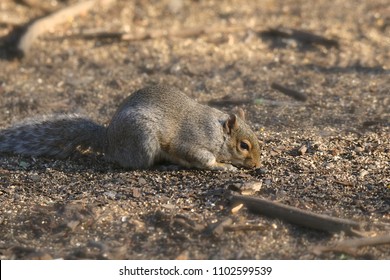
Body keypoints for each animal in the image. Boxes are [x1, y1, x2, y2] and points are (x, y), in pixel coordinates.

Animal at [1, 84, 262, 171]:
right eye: (243, 145)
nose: (257, 165)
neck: (217, 132)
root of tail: (107, 139)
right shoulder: (192, 141)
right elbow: (201, 158)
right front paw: (223, 166)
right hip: (144, 140)